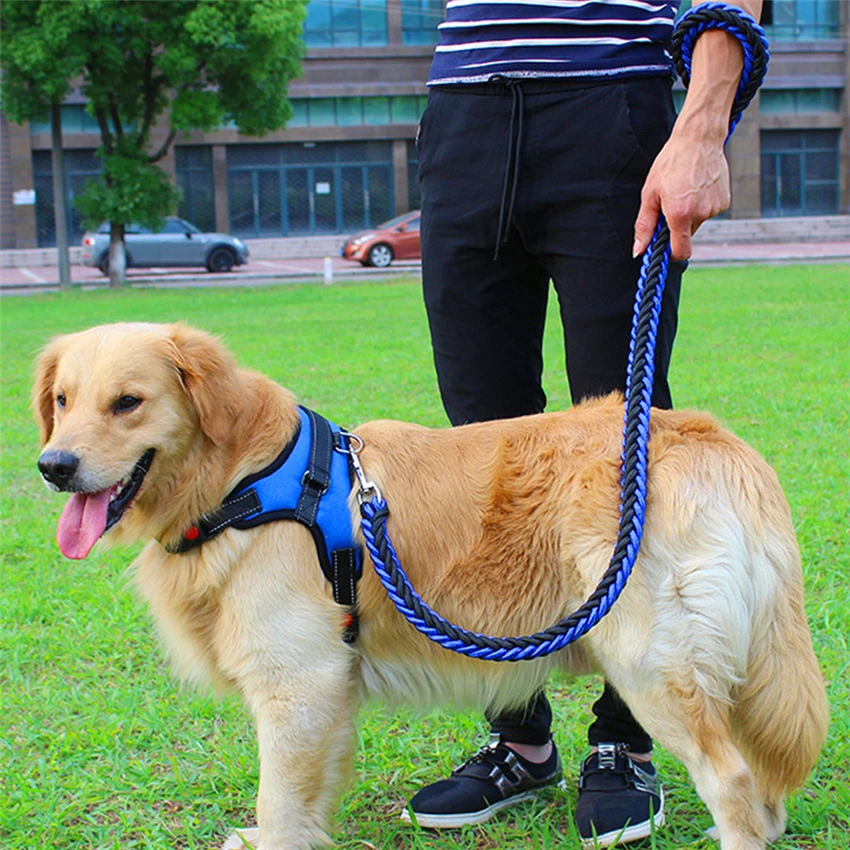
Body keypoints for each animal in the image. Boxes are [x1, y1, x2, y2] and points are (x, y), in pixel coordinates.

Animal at [36, 322, 824, 844]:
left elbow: (277, 802)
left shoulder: (298, 684)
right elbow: (306, 799)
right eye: (63, 400)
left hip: (650, 661)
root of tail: (716, 442)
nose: (53, 466)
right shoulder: (326, 693)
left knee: (733, 780)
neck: (243, 482)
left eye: (128, 402)